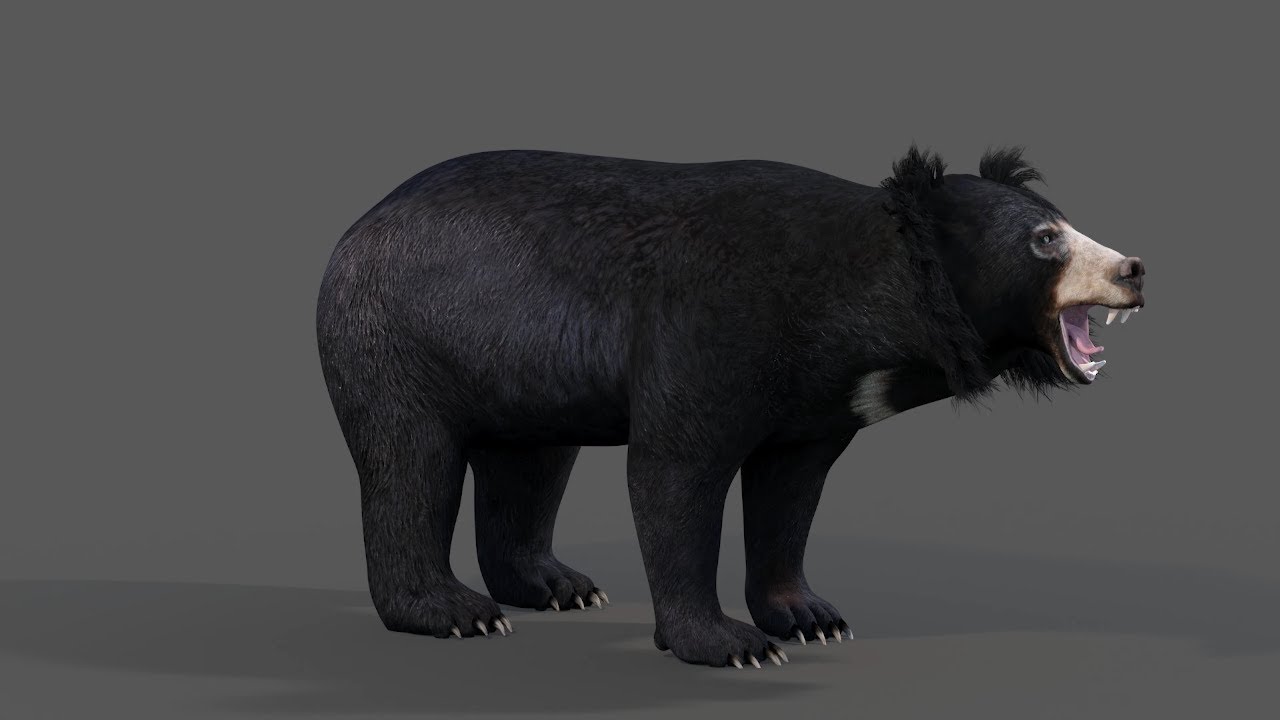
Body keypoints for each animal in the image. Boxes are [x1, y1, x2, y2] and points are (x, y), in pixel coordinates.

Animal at [315, 145, 1146, 668]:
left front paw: (812, 618)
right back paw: (457, 612)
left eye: (1067, 223)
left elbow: (789, 493)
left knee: (531, 464)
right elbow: (674, 472)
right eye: (1046, 240)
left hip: (515, 363)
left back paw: (558, 587)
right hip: (400, 335)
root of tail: (357, 227)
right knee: (410, 463)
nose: (1134, 269)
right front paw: (731, 643)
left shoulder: (816, 402)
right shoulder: (711, 329)